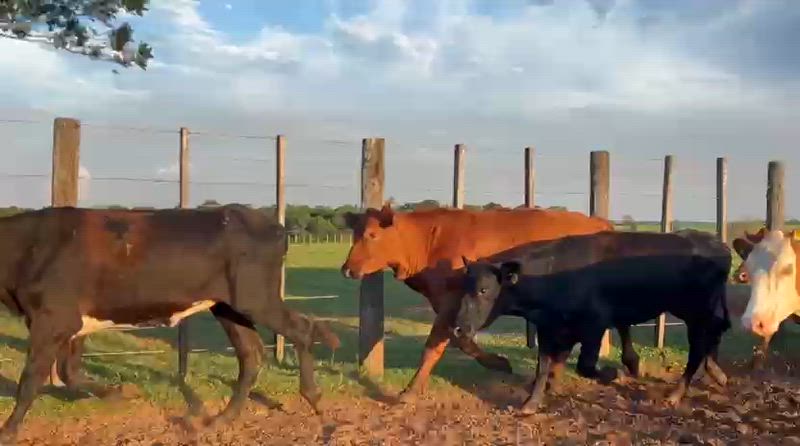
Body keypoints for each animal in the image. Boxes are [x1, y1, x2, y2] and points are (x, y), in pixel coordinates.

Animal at [0, 204, 340, 442]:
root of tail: (271, 224)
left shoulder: (51, 319)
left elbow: (30, 379)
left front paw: (8, 430)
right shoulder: (72, 323)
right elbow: (67, 372)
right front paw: (121, 392)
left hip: (255, 299)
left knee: (301, 329)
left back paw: (316, 403)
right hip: (228, 307)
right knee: (251, 355)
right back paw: (221, 419)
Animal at [340, 203, 643, 401]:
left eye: (372, 235)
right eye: (354, 234)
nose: (346, 269)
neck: (430, 241)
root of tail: (601, 223)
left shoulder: (453, 303)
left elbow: (436, 345)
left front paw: (411, 391)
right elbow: (458, 340)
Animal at [453, 229, 732, 414]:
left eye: (483, 290)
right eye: (463, 287)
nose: (458, 328)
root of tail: (718, 243)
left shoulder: (594, 325)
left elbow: (584, 365)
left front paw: (615, 374)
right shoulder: (549, 328)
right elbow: (544, 367)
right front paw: (531, 403)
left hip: (697, 311)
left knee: (698, 347)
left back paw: (675, 394)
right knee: (712, 335)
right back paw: (715, 375)